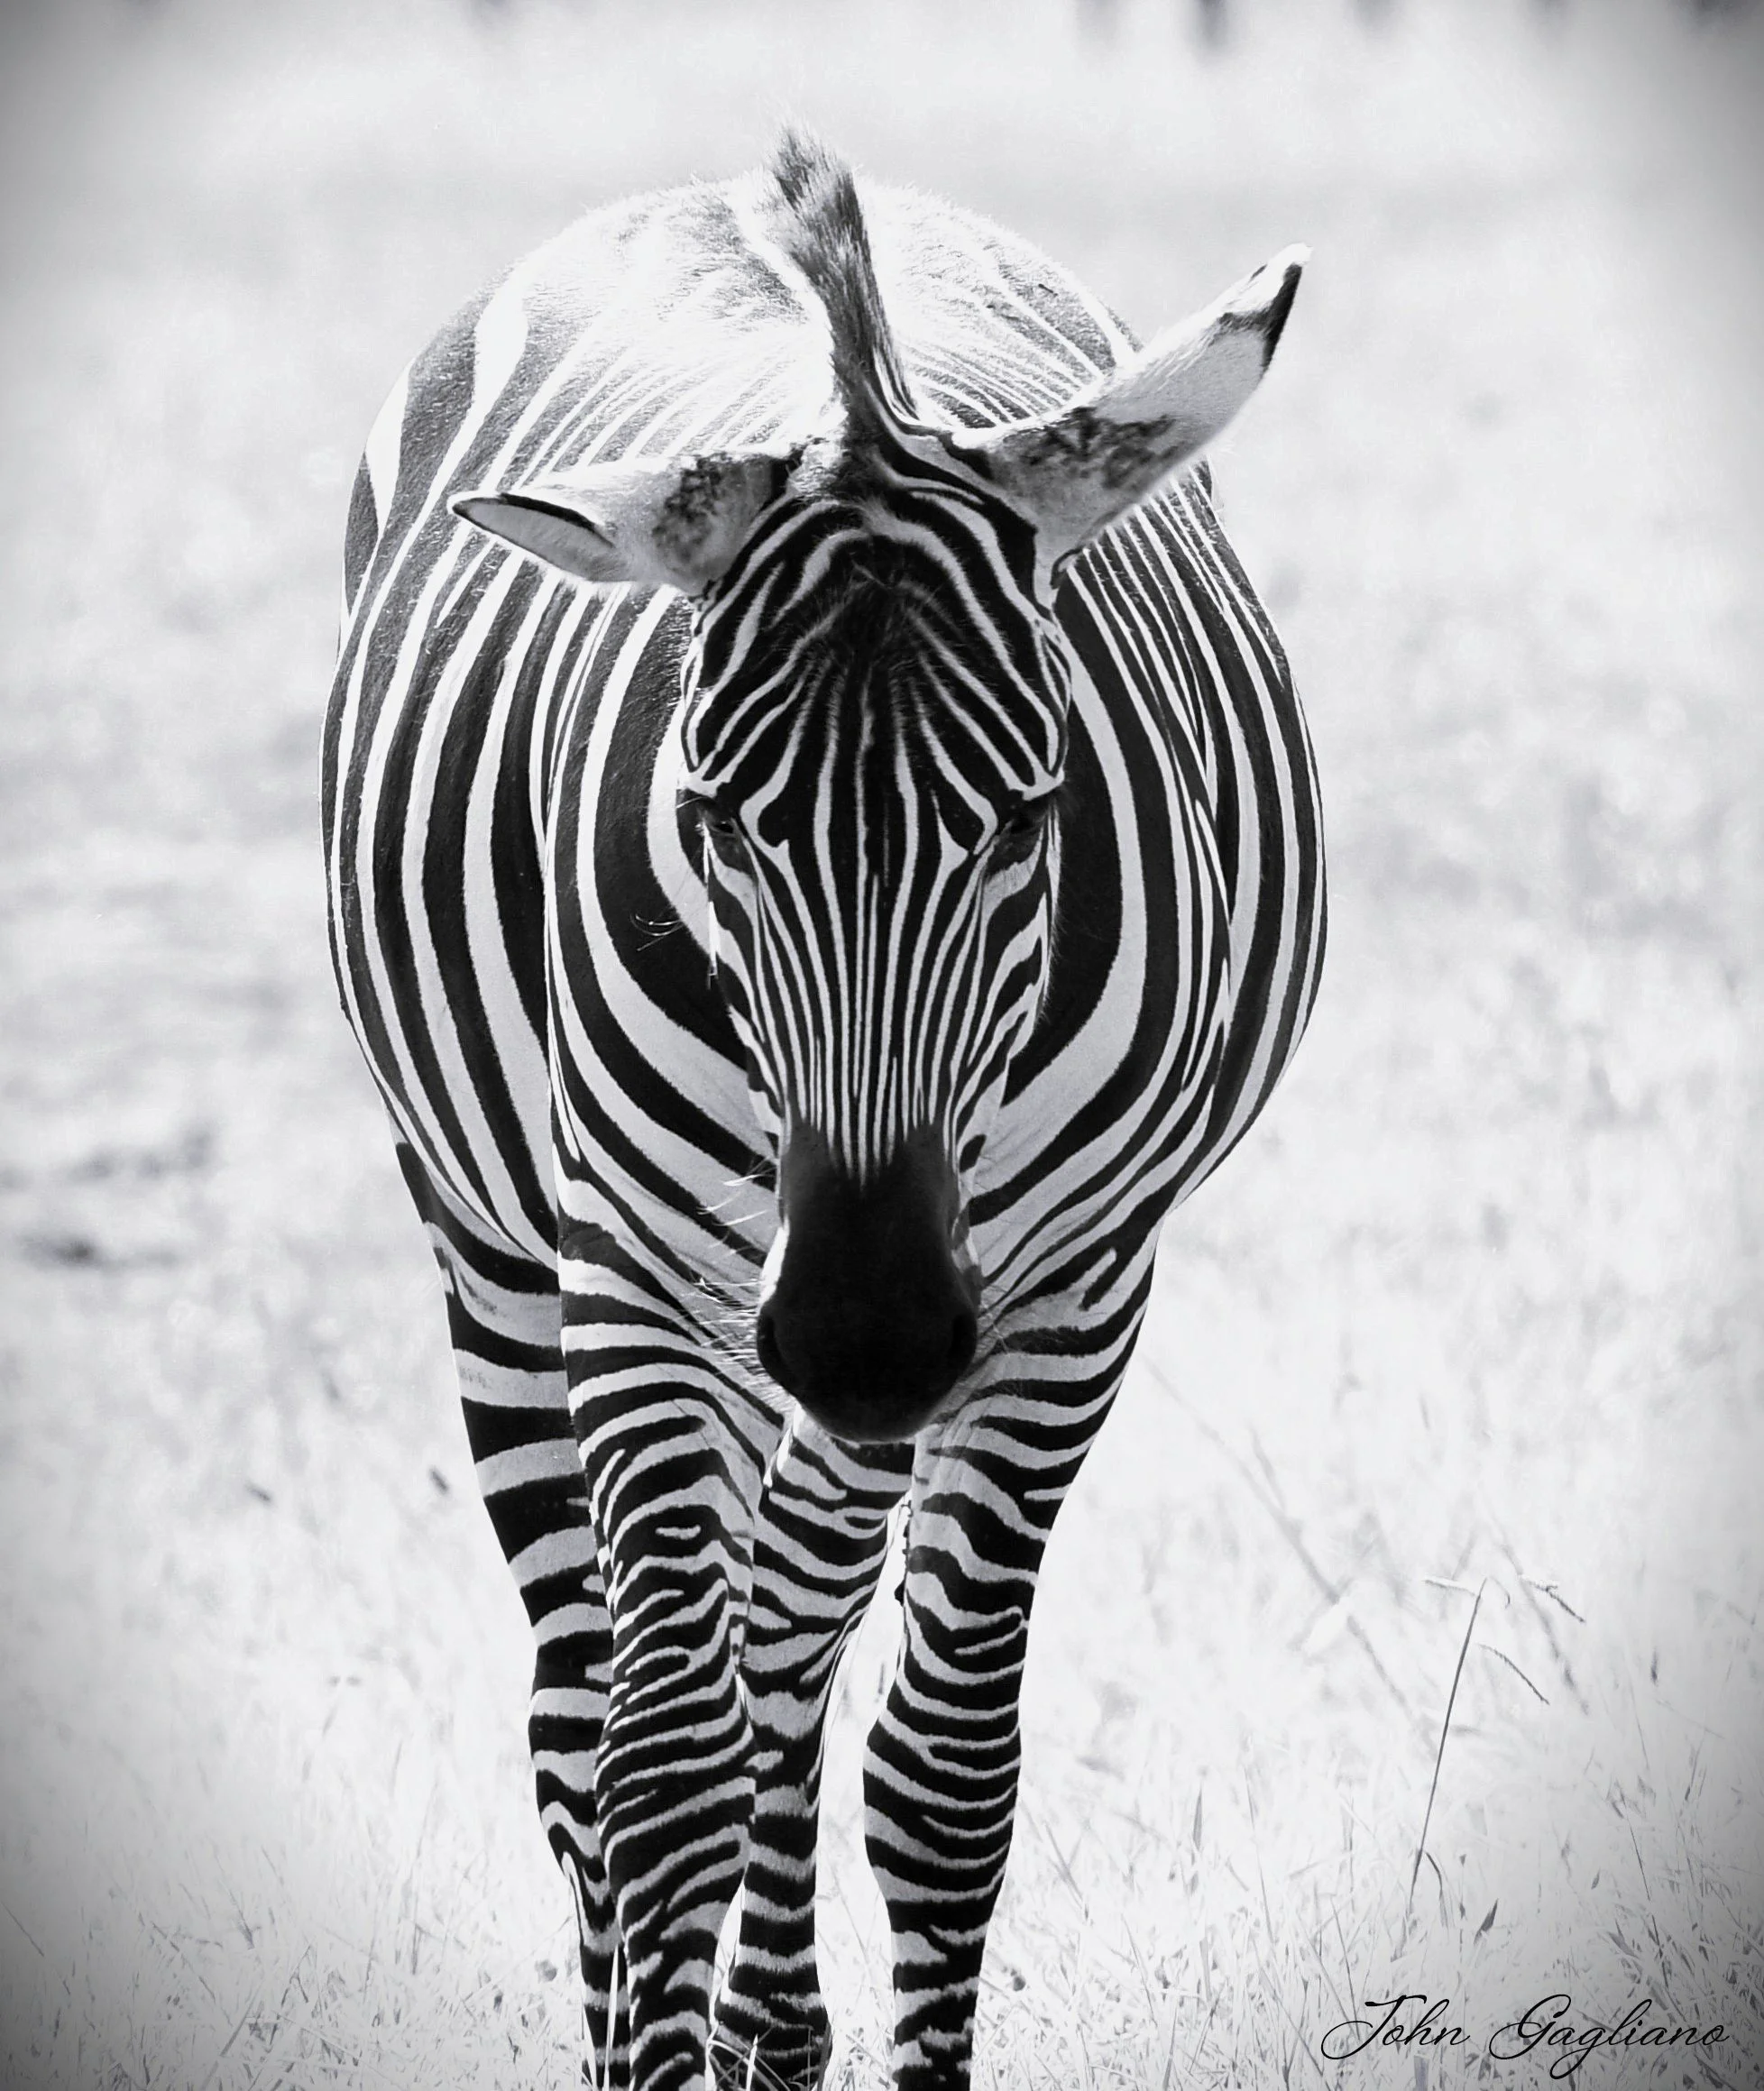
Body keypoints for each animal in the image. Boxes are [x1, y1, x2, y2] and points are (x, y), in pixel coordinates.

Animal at [323, 134, 1323, 2091]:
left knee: (791, 1629)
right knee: (590, 1713)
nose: (865, 1336)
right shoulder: (639, 1268)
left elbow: (937, 1777)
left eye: (1033, 811)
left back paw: (774, 2023)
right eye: (712, 814)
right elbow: (659, 1779)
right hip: (492, 1242)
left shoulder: (1070, 1291)